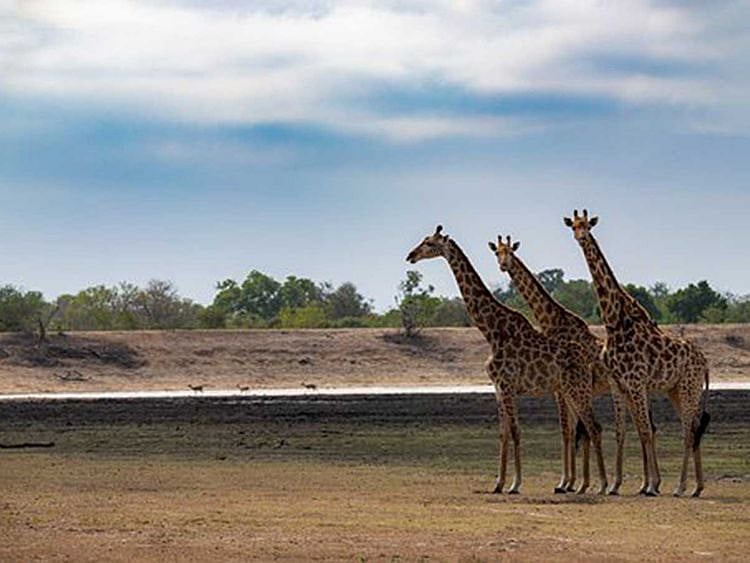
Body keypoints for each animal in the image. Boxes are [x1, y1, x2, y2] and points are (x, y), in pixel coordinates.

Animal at [406, 225, 608, 494]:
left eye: (429, 243)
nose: (410, 256)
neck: (491, 331)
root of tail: (586, 359)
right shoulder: (498, 388)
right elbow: (503, 433)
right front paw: (498, 483)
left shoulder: (509, 385)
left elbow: (516, 431)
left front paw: (515, 483)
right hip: (571, 390)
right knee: (587, 428)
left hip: (577, 390)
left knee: (593, 427)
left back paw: (604, 485)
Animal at [489, 234, 628, 495]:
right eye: (497, 252)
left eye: (510, 252)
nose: (503, 265)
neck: (551, 321)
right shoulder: (562, 388)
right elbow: (572, 430)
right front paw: (571, 482)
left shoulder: (560, 389)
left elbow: (569, 430)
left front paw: (568, 483)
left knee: (622, 427)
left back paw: (617, 484)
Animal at [564, 209, 710, 497]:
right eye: (573, 226)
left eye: (587, 225)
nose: (580, 236)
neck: (614, 322)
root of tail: (705, 362)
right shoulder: (619, 384)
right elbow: (622, 431)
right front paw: (615, 485)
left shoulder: (637, 382)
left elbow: (645, 430)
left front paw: (652, 485)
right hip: (675, 389)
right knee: (693, 426)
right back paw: (697, 487)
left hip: (689, 387)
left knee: (688, 430)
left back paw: (681, 487)